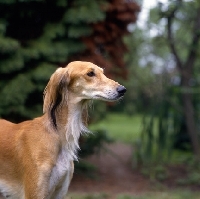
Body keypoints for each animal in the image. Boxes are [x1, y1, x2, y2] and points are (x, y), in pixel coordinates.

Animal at [0, 61, 126, 199]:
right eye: (90, 73)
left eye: (102, 72)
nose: (122, 90)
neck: (57, 135)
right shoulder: (34, 193)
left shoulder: (59, 192)